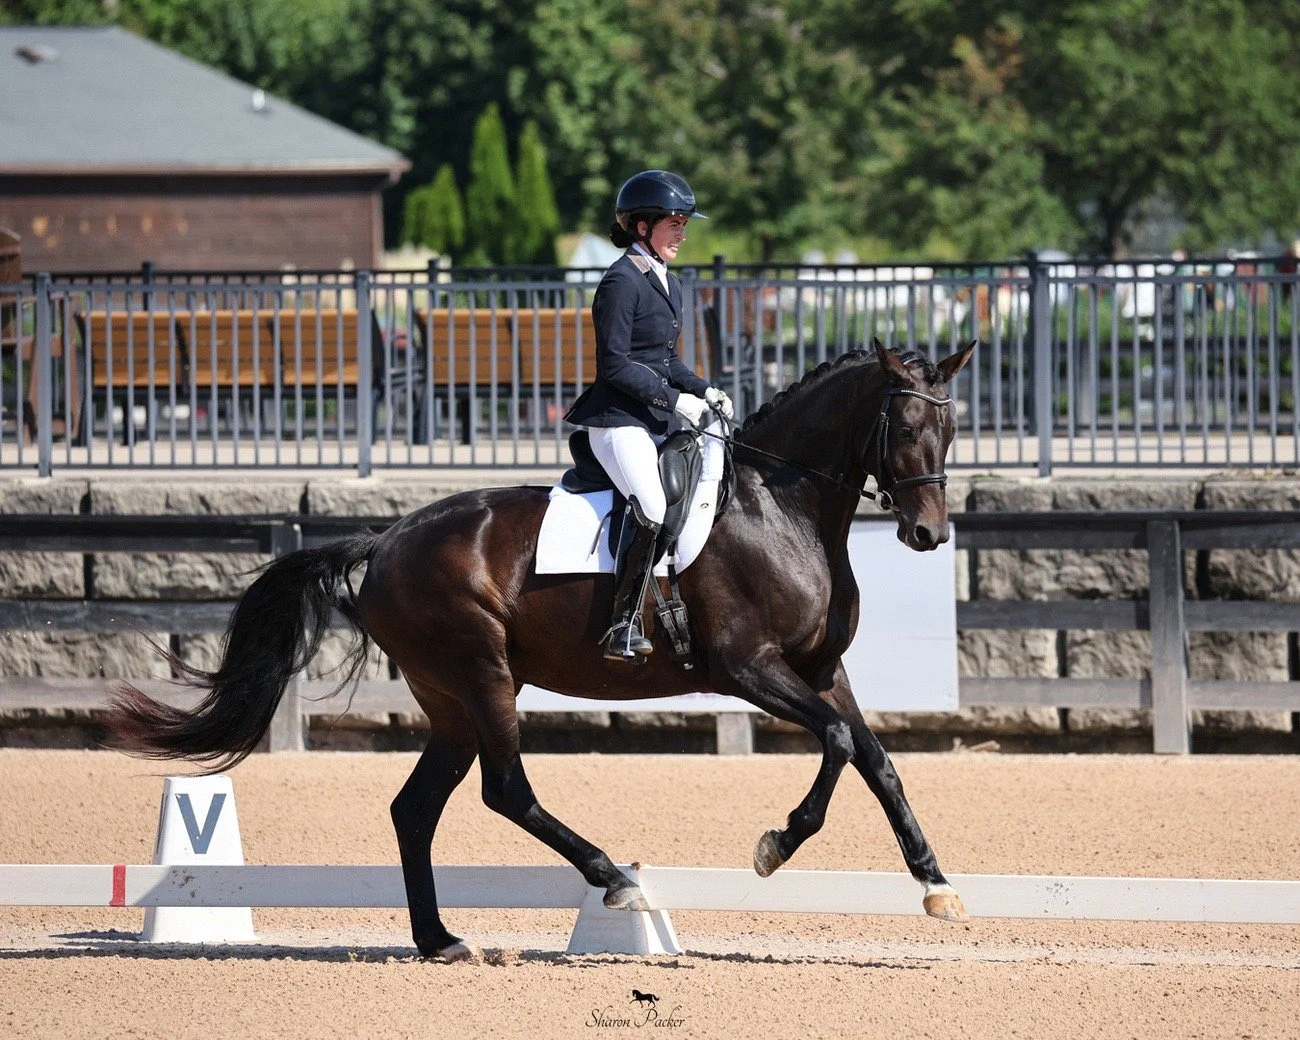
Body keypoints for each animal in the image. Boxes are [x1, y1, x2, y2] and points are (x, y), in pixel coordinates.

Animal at [105, 338, 977, 961]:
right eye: (904, 427)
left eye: (952, 427)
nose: (928, 534)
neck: (782, 508)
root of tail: (386, 539)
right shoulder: (750, 668)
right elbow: (837, 745)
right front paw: (775, 846)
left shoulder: (821, 670)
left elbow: (876, 759)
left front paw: (935, 883)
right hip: (482, 674)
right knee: (506, 791)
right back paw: (616, 881)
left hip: (452, 700)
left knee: (415, 807)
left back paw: (441, 941)